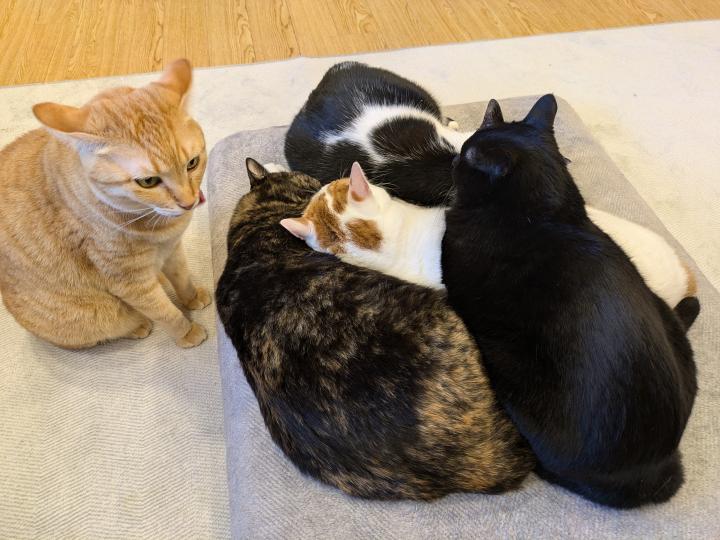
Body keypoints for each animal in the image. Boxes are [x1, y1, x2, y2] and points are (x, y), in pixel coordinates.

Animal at [0, 59, 211, 349]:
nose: (189, 203)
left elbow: (183, 279)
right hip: (98, 315)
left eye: (192, 163)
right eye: (148, 181)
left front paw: (191, 298)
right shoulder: (131, 284)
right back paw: (138, 326)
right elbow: (166, 312)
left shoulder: (173, 249)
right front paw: (187, 332)